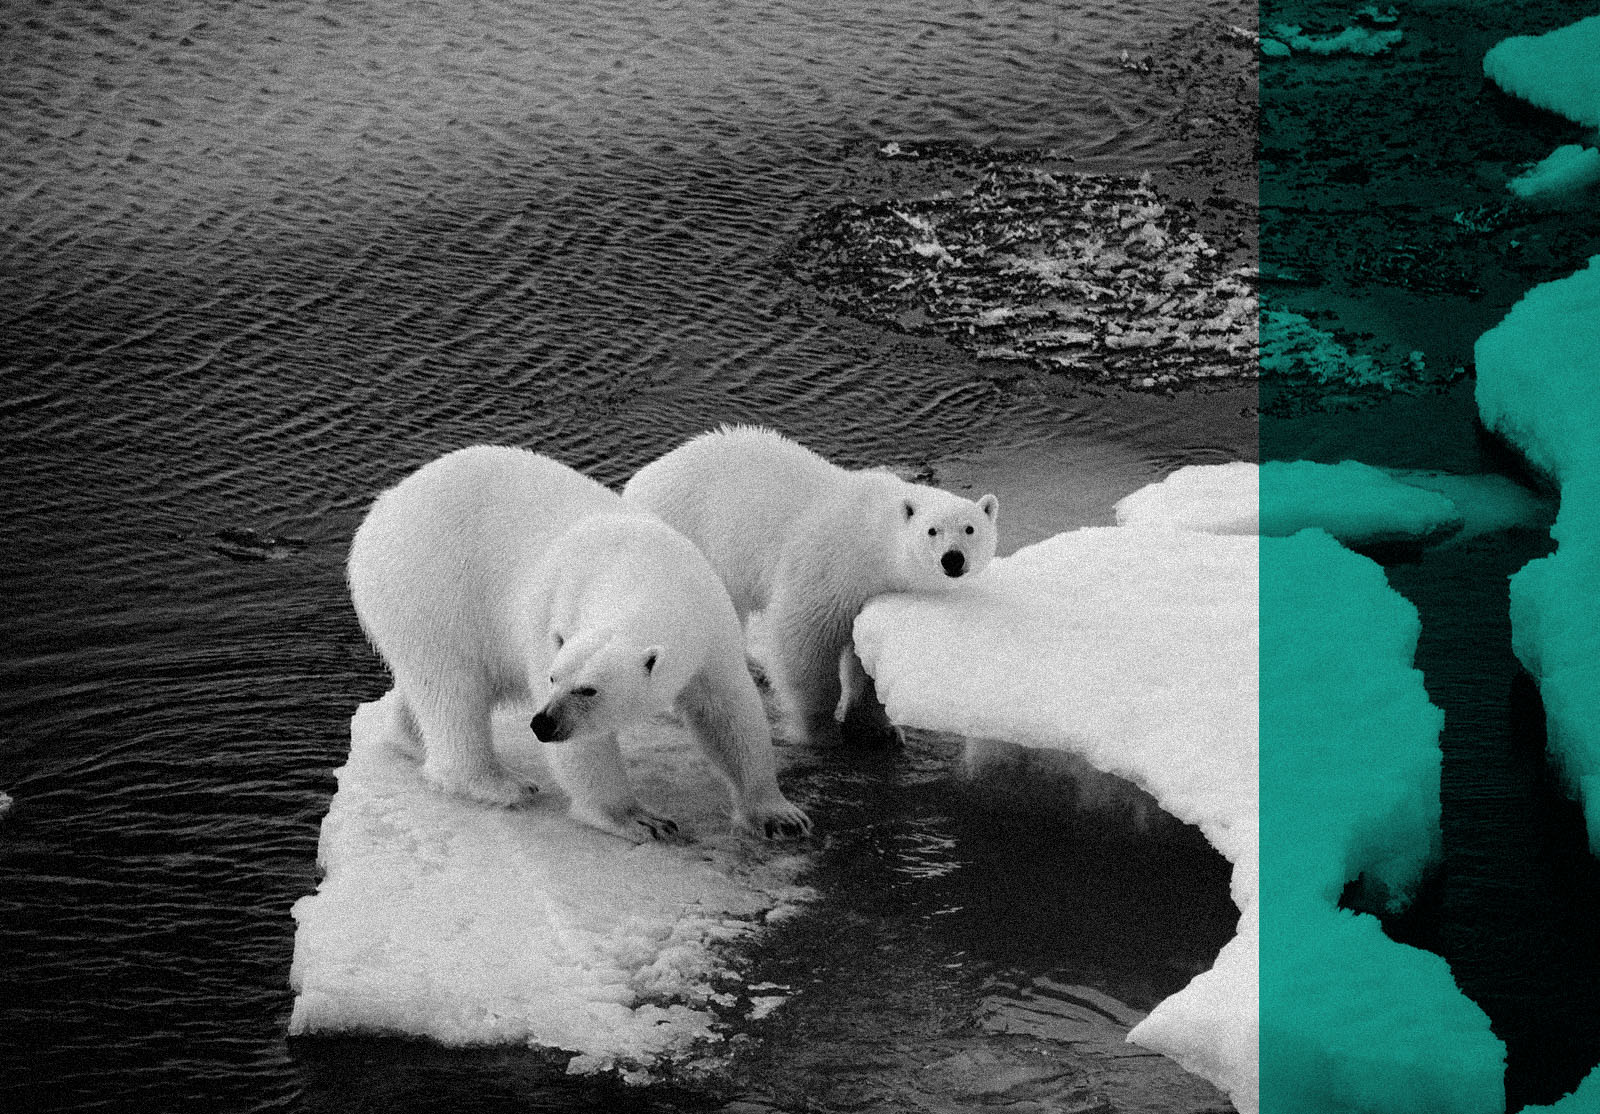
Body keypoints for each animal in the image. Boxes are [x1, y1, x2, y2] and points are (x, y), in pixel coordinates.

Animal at [347, 444, 812, 843]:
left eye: (588, 689)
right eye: (554, 679)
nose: (542, 724)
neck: (642, 571)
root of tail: (382, 508)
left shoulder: (710, 624)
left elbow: (730, 712)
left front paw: (779, 815)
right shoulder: (553, 614)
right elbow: (586, 751)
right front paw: (642, 819)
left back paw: (410, 738)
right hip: (432, 589)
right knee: (452, 689)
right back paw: (500, 784)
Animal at [623, 425, 999, 747]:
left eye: (970, 528)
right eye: (932, 530)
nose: (952, 560)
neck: (874, 537)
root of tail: (638, 481)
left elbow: (867, 655)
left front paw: (878, 730)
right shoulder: (830, 569)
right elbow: (804, 643)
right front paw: (822, 731)